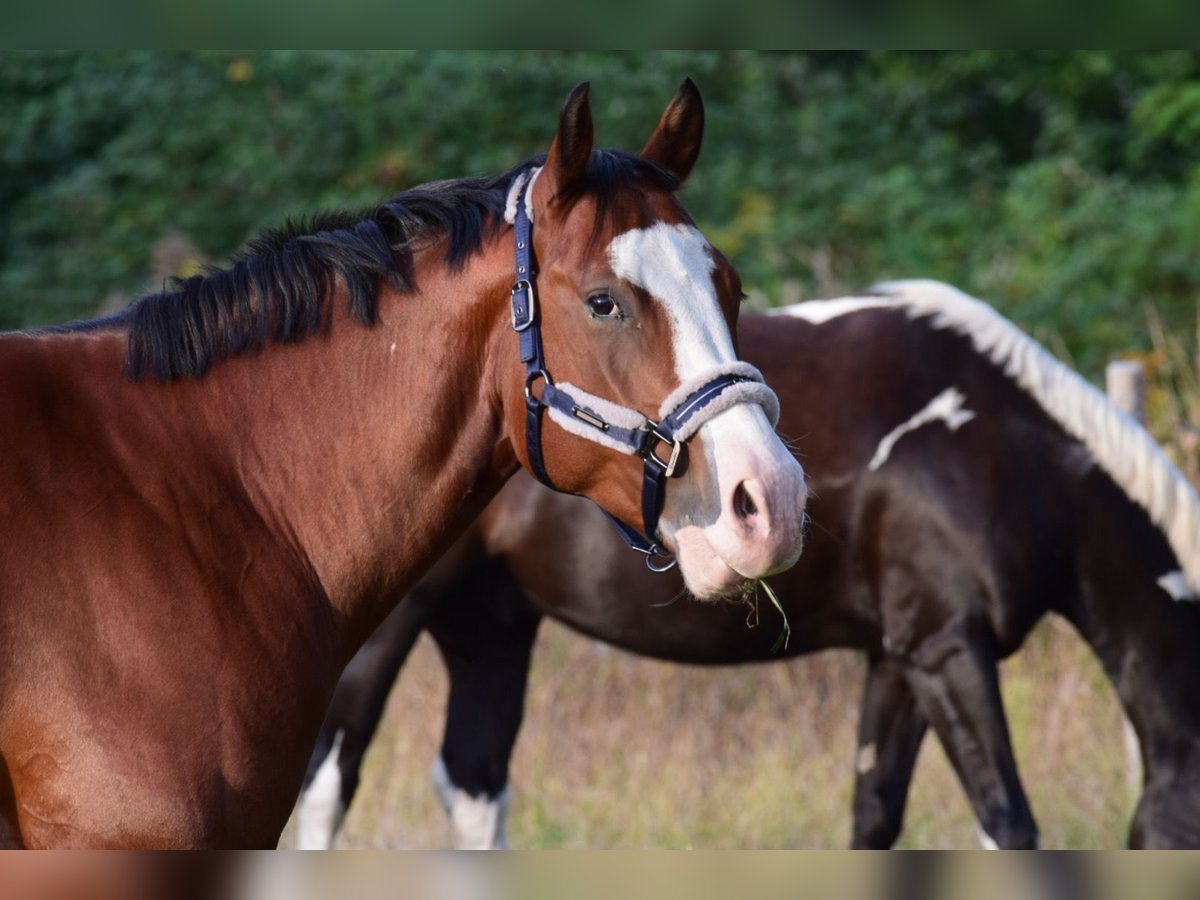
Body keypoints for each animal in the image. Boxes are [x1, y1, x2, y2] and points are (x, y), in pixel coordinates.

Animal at [292, 282, 1200, 854]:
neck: (1001, 445)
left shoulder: (899, 661)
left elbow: (875, 820)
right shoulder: (950, 653)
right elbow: (1009, 825)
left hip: (490, 625)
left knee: (475, 789)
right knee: (325, 791)